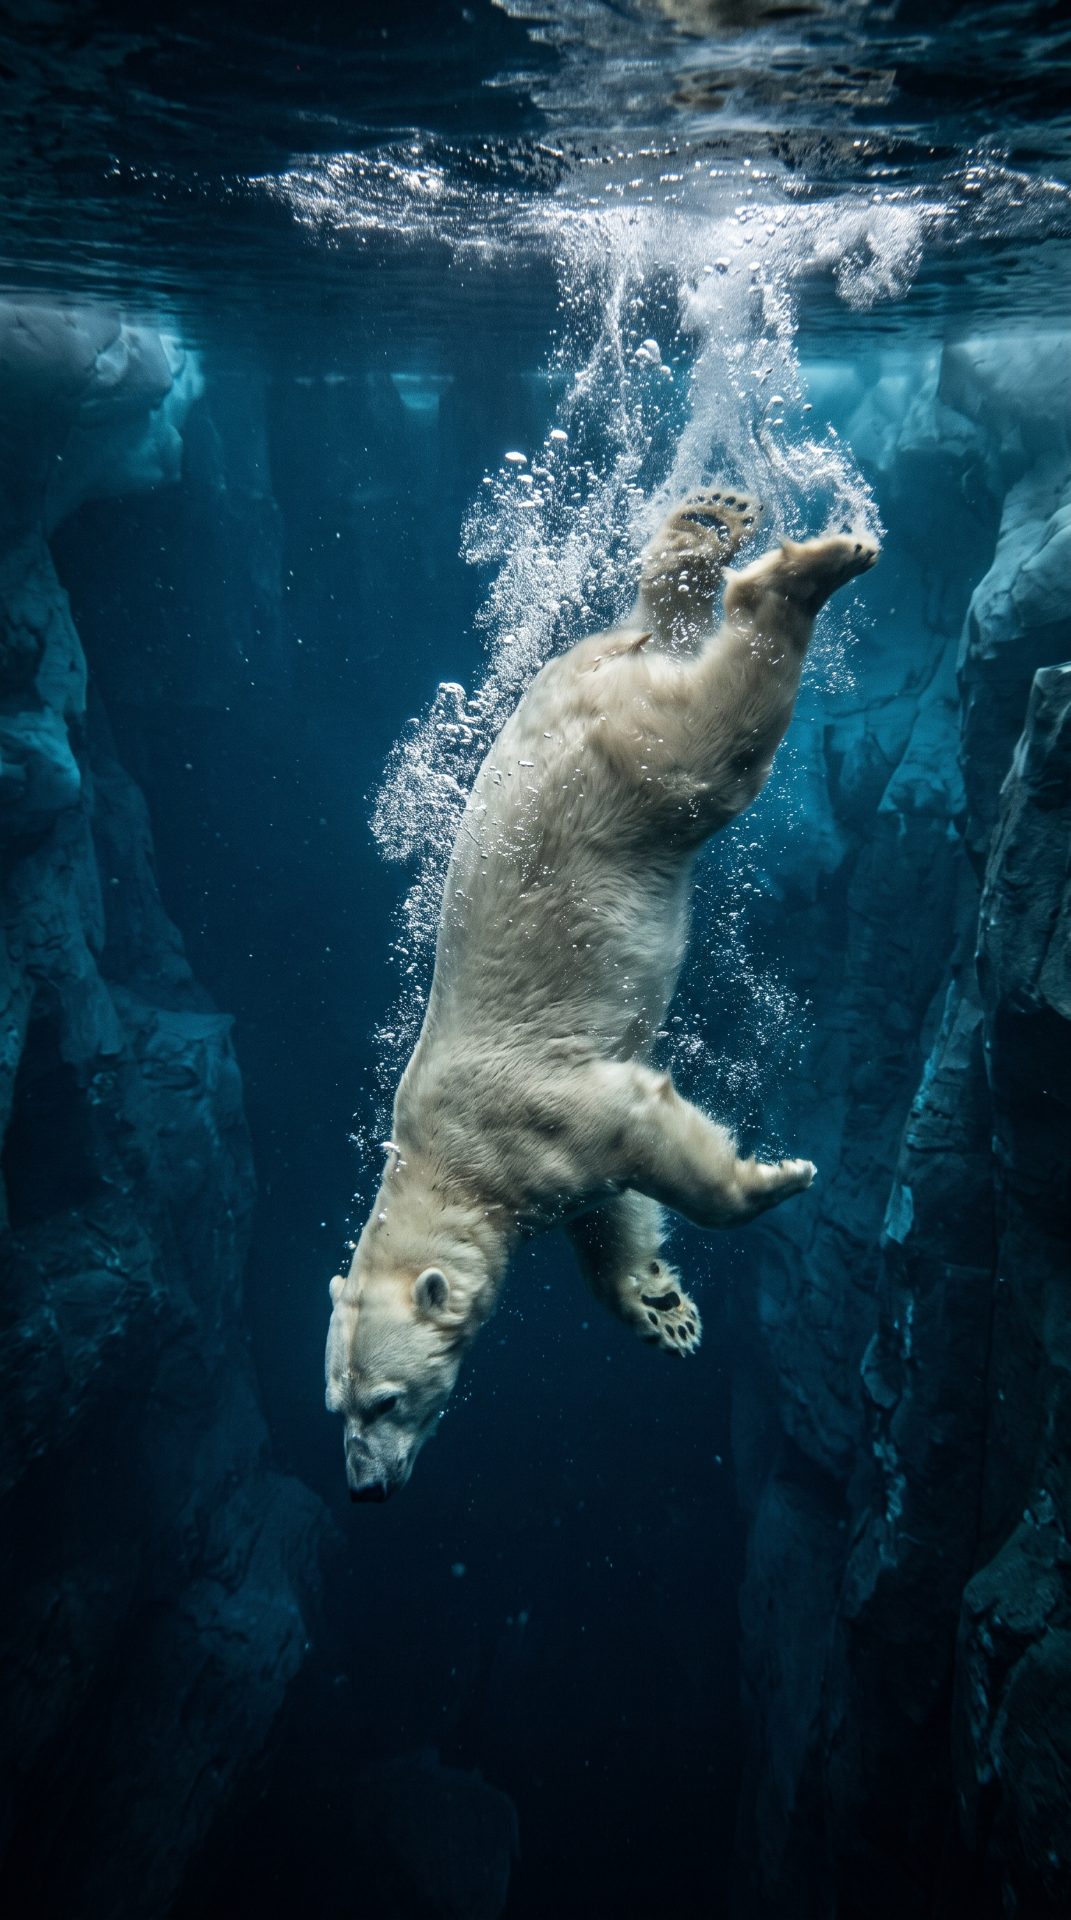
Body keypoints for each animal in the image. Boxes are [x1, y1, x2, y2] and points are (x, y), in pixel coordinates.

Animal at [326, 489, 879, 1499]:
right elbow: (609, 1218)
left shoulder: (527, 1119)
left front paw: (773, 1179)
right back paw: (705, 522)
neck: (439, 1158)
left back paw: (805, 569)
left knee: (716, 740)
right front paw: (662, 1308)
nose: (366, 1489)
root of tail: (584, 669)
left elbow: (642, 1131)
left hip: (628, 763)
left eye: (385, 1402)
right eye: (336, 1408)